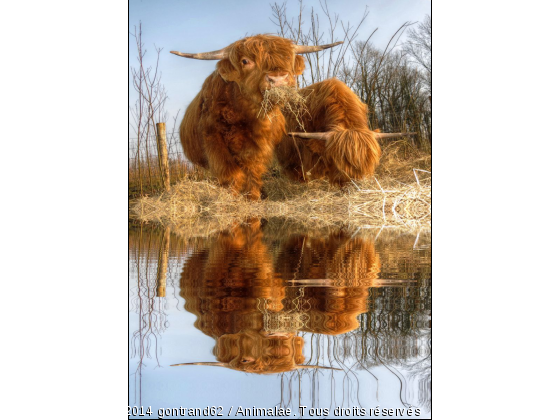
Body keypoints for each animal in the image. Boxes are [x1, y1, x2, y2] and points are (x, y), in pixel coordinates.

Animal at [172, 35, 342, 200]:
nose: (278, 79)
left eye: (288, 57)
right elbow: (232, 176)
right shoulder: (215, 143)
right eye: (245, 61)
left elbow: (252, 176)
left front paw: (253, 203)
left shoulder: (258, 148)